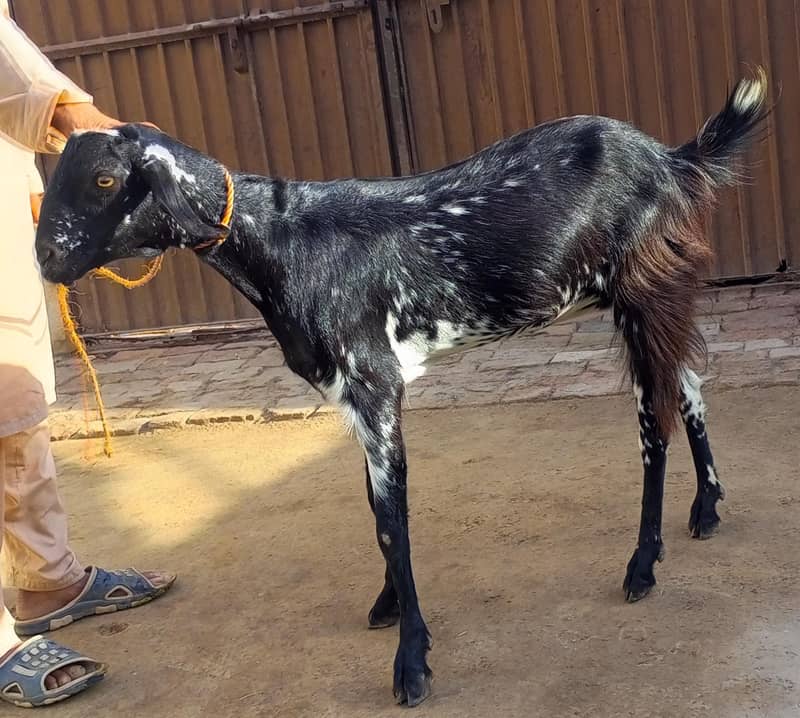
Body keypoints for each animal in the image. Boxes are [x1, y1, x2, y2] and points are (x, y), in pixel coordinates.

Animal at [36, 70, 768, 707]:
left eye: (104, 178)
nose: (46, 258)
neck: (284, 240)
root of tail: (672, 159)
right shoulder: (352, 401)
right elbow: (373, 508)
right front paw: (389, 605)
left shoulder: (374, 383)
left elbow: (392, 521)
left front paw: (411, 662)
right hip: (645, 296)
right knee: (687, 384)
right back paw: (707, 507)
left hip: (643, 289)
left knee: (654, 421)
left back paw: (643, 564)